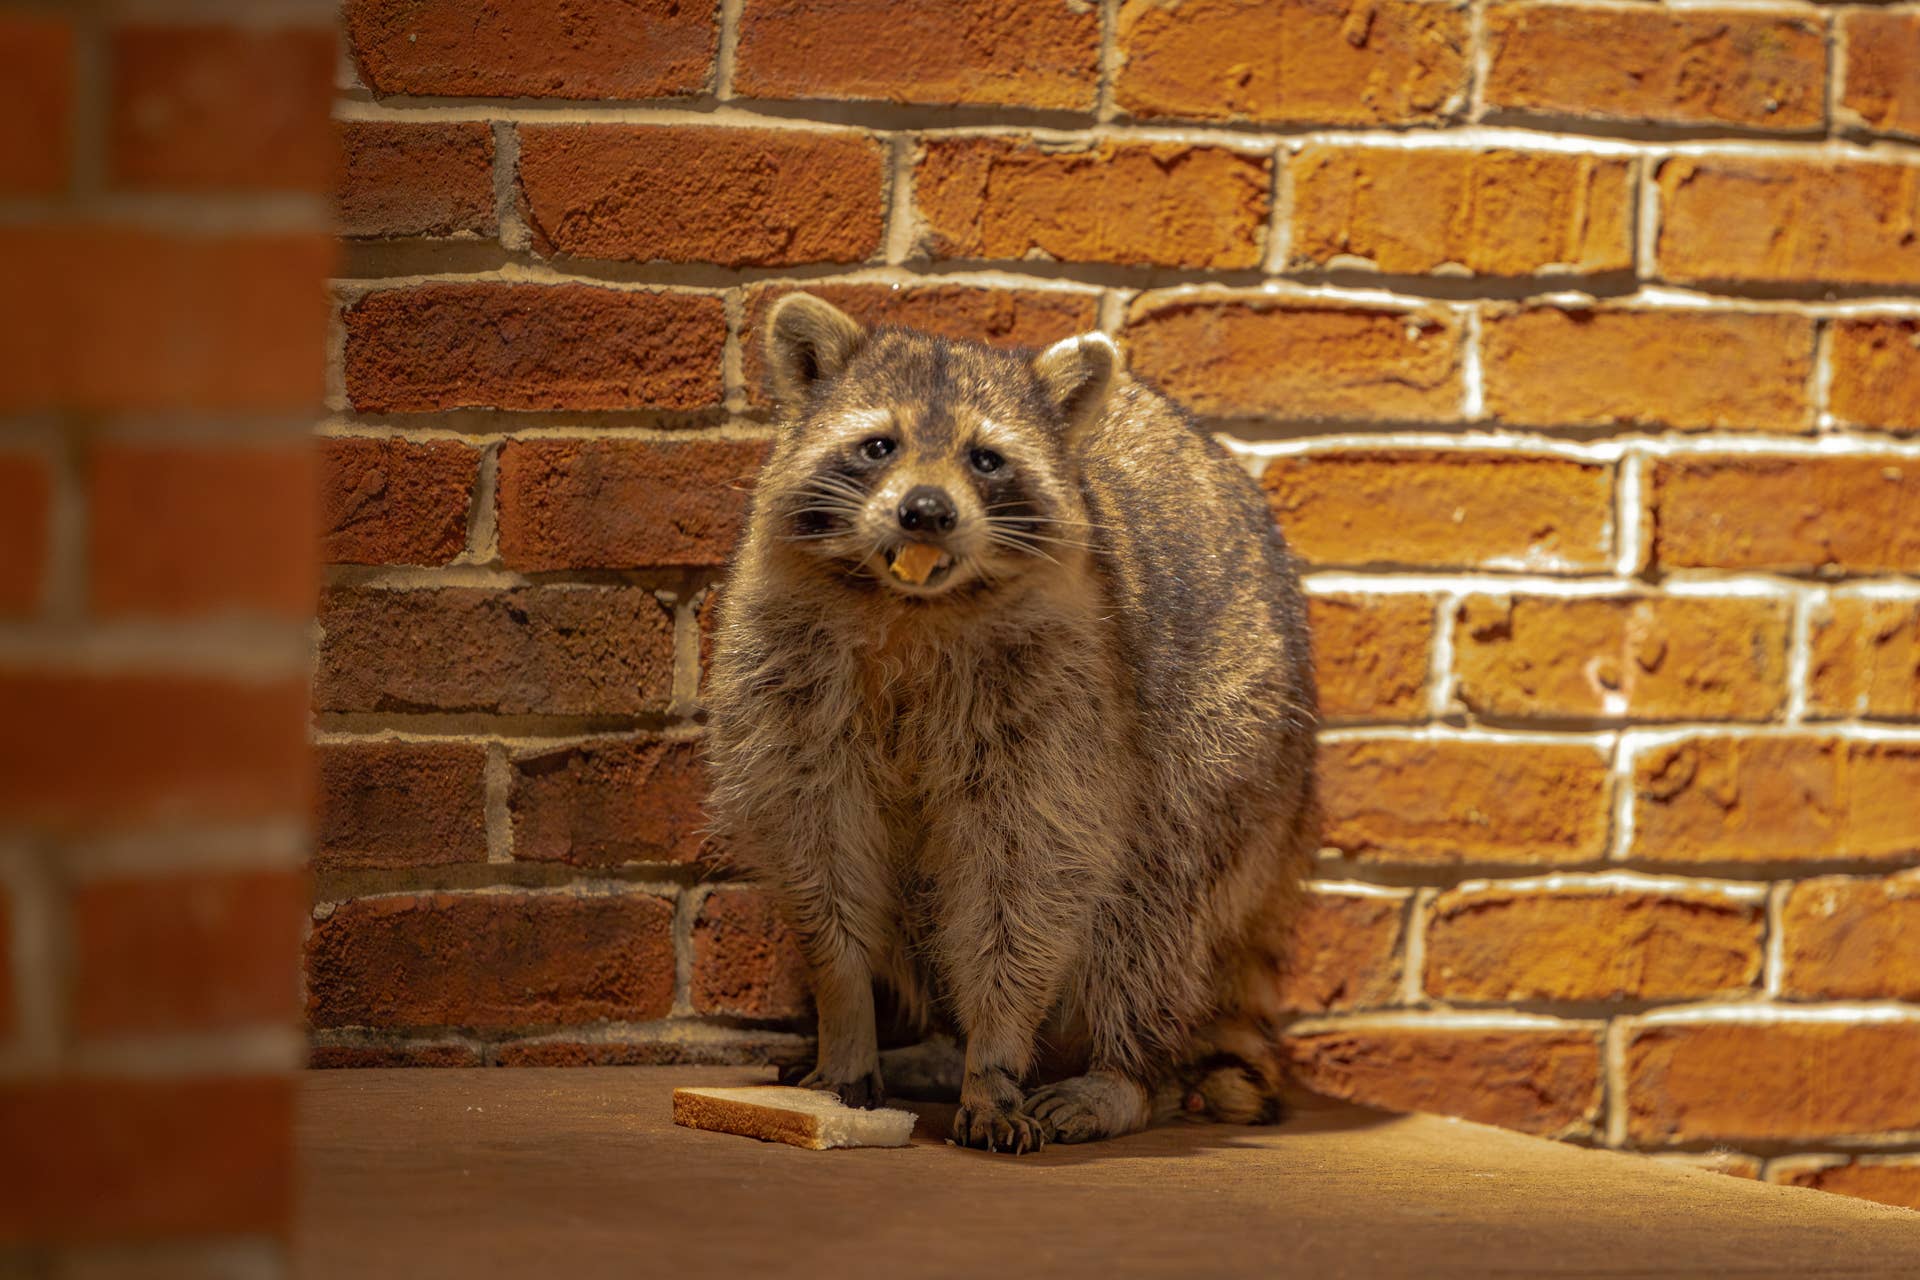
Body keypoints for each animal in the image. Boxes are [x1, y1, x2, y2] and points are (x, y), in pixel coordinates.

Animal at [702, 294, 1318, 1152]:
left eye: (986, 460)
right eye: (879, 445)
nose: (925, 512)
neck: (913, 608)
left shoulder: (1064, 695)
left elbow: (1028, 875)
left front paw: (996, 1053)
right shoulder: (783, 678)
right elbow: (818, 848)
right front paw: (846, 1010)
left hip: (1241, 748)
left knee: (1152, 897)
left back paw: (1125, 1070)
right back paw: (938, 1043)